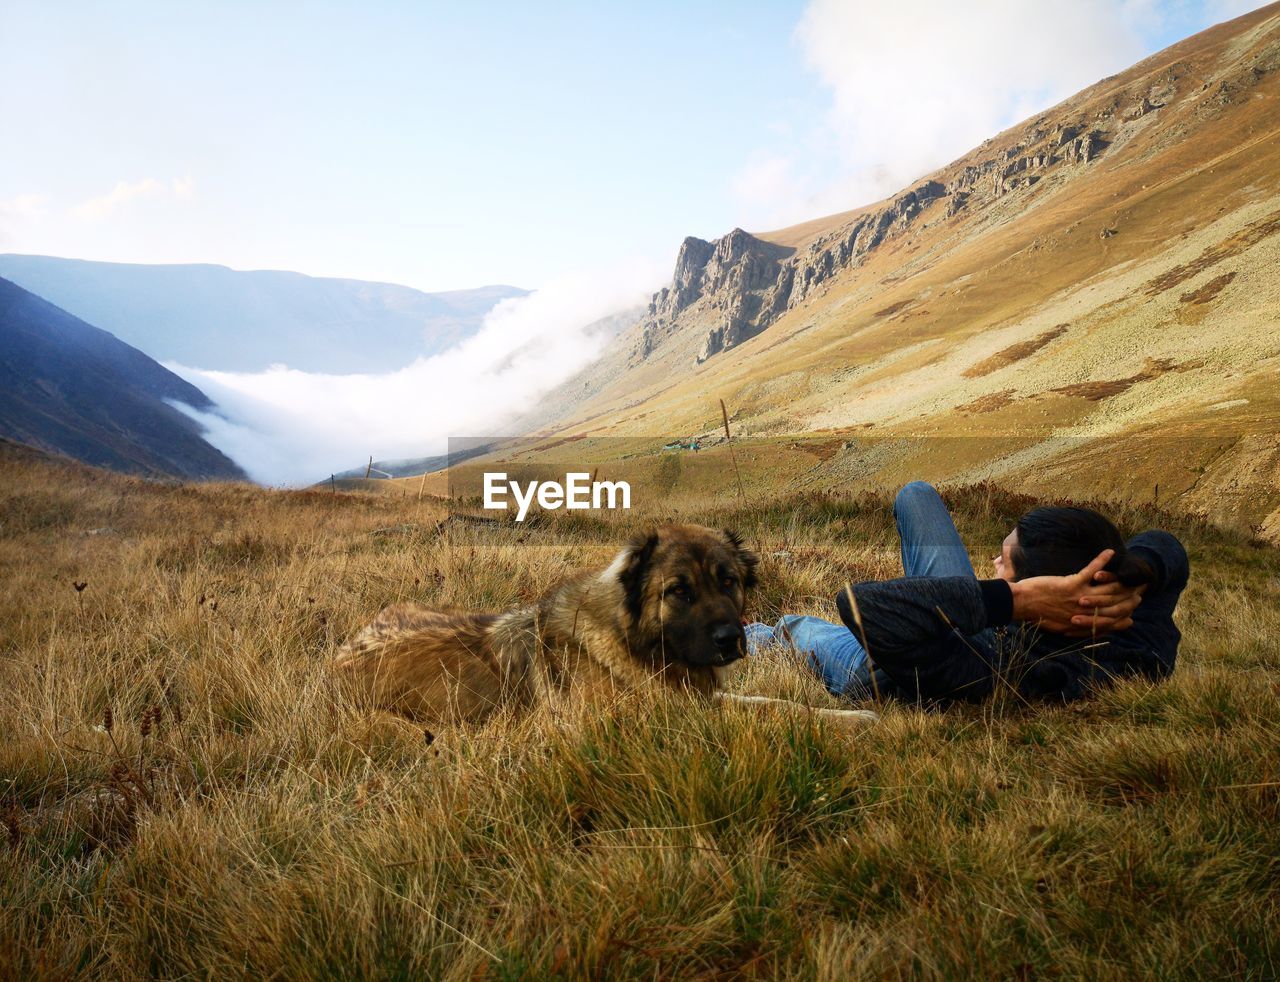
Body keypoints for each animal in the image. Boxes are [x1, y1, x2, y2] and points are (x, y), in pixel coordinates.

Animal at [335, 522, 880, 727]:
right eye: (678, 591)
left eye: (728, 582)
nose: (732, 640)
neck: (634, 642)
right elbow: (766, 713)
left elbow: (774, 702)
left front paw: (850, 716)